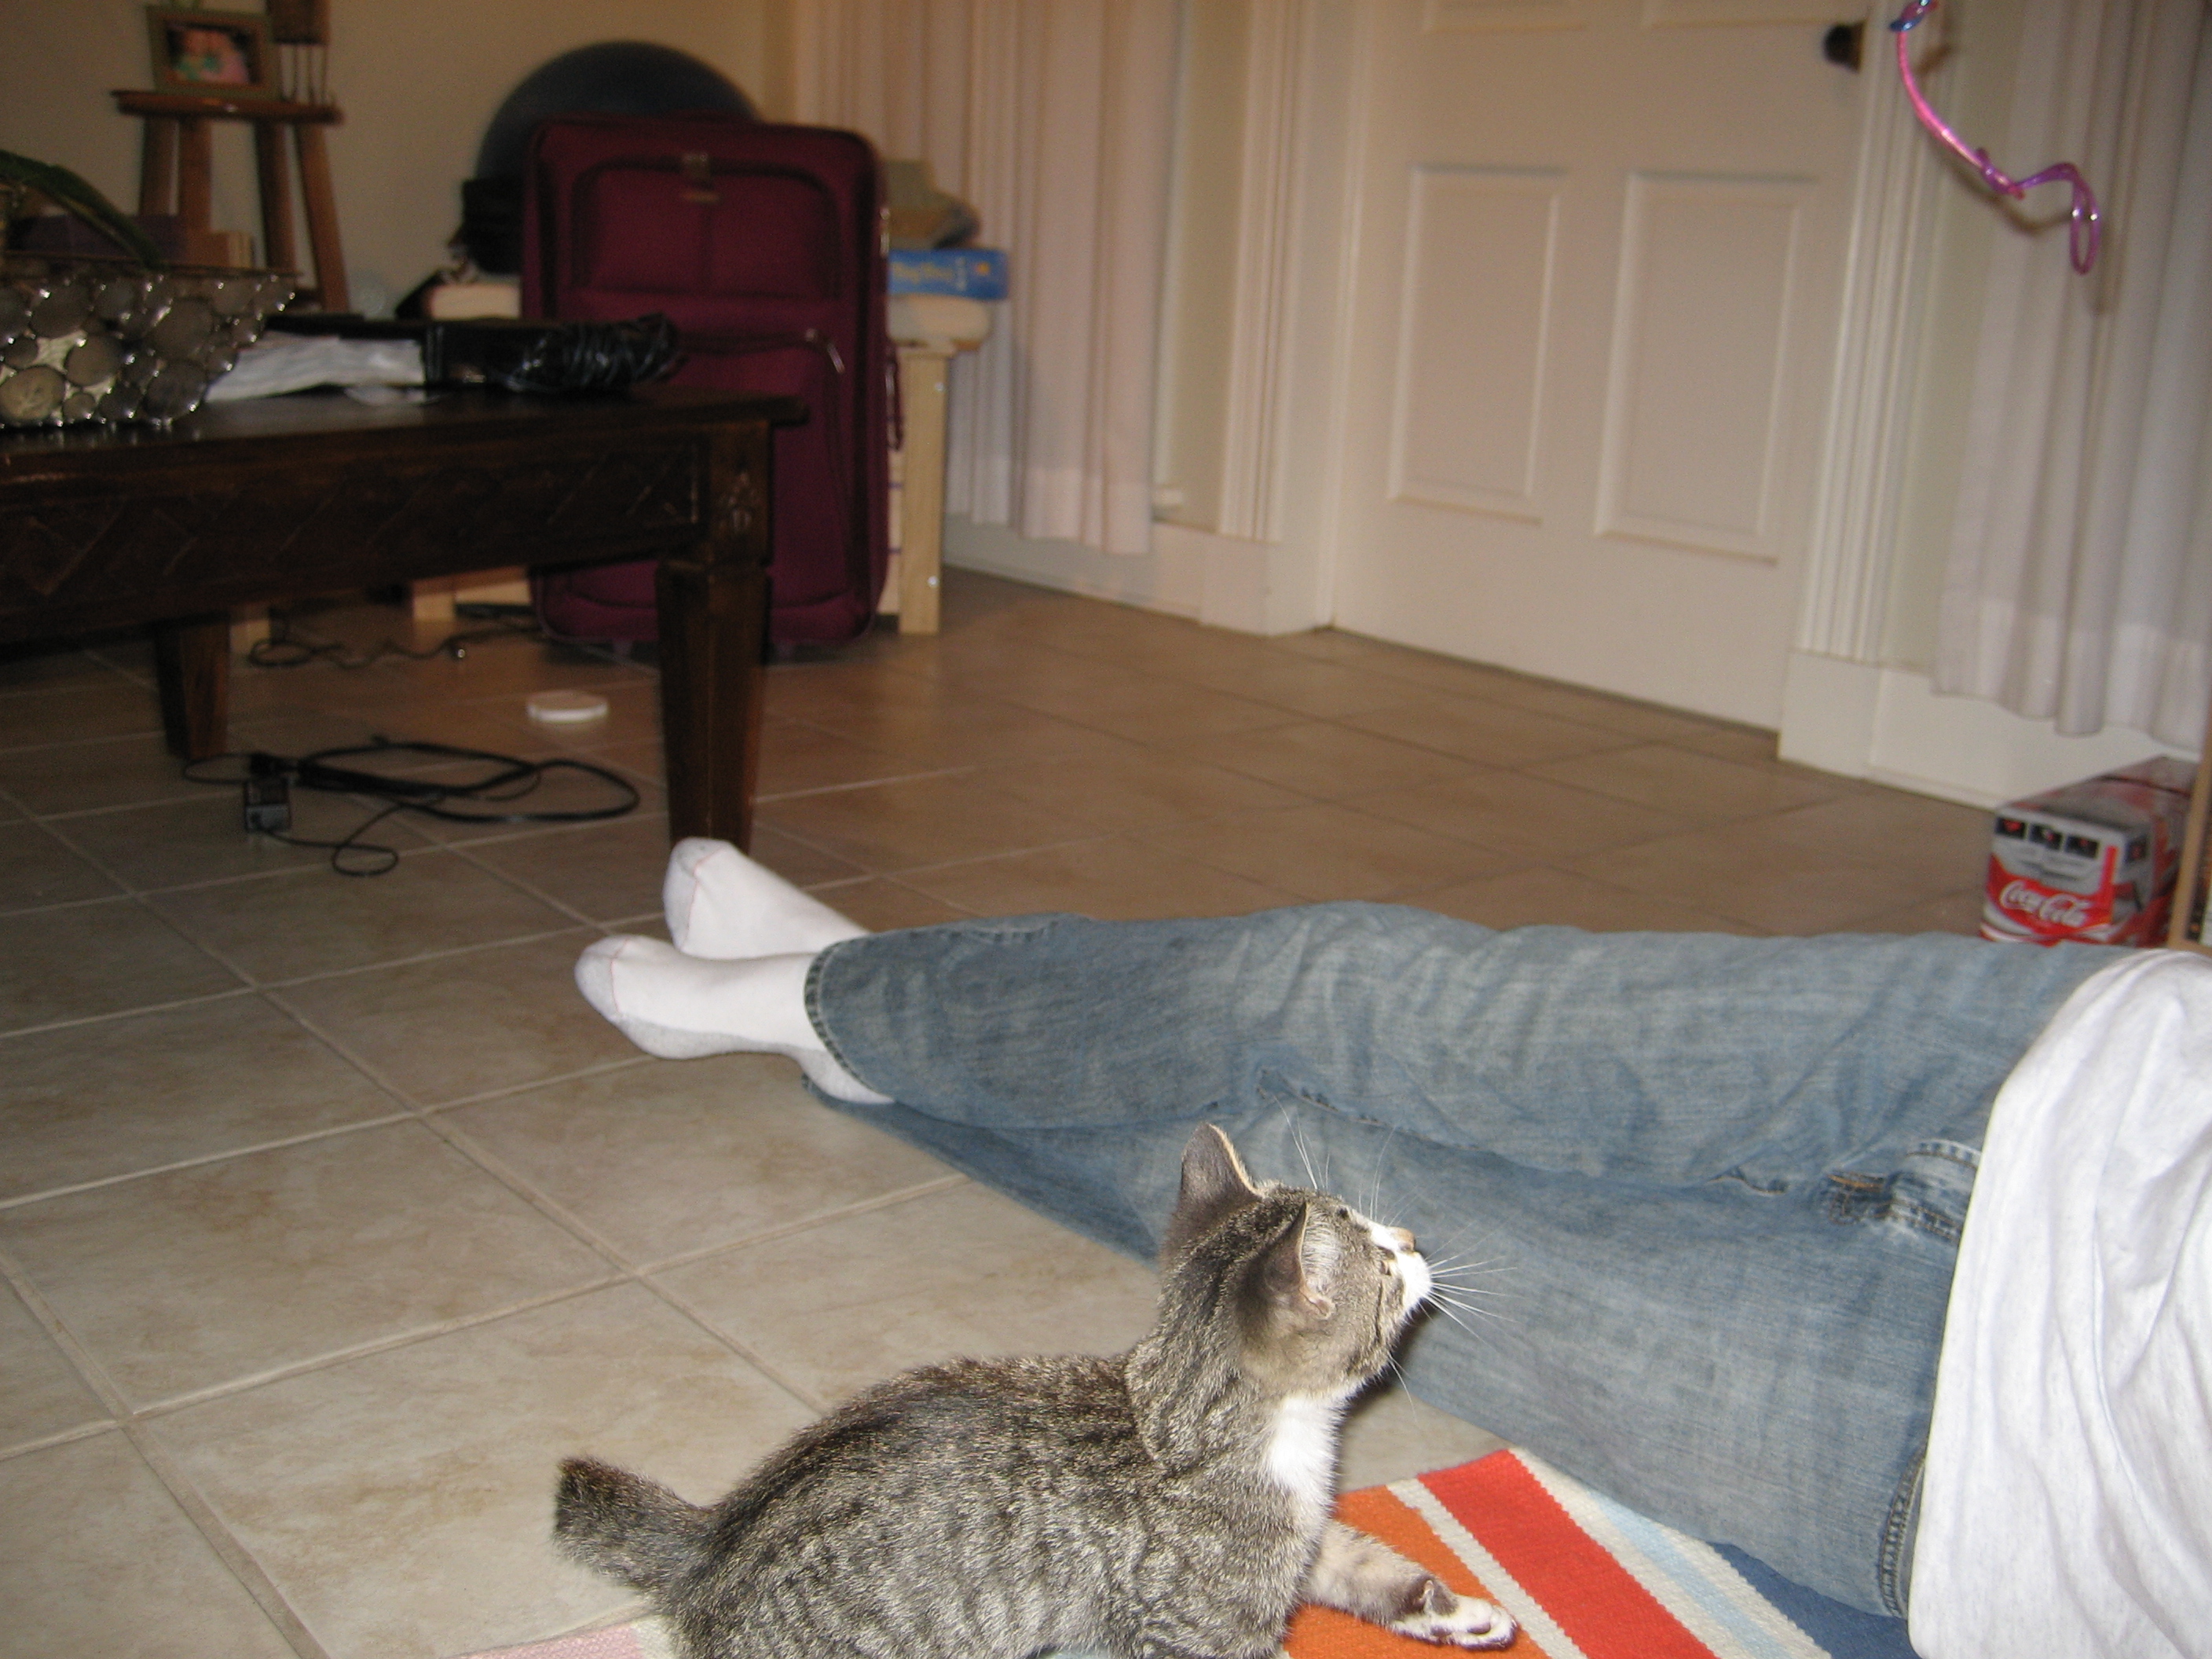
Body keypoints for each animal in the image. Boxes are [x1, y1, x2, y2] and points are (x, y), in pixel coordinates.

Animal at [554, 1123, 1516, 1658]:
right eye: (1383, 1266)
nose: (1413, 1238)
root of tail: (709, 1543)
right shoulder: (1202, 1620)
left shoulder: (1300, 1538)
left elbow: (1365, 1565)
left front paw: (1457, 1613)